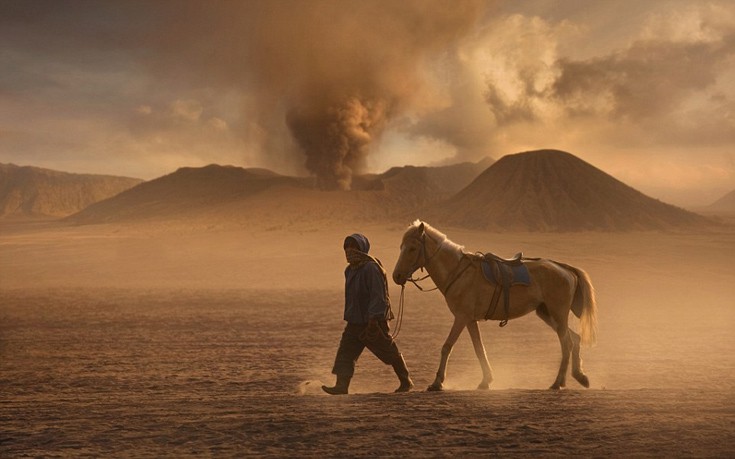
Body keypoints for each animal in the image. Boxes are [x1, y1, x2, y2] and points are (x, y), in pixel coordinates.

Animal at [392, 220, 600, 392]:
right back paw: (579, 377)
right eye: (400, 247)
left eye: (412, 248)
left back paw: (558, 383)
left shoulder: (461, 317)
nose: (397, 276)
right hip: (547, 313)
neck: (457, 272)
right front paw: (486, 381)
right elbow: (479, 348)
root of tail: (565, 269)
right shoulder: (470, 320)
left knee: (567, 343)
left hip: (558, 313)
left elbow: (447, 346)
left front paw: (437, 383)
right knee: (575, 339)